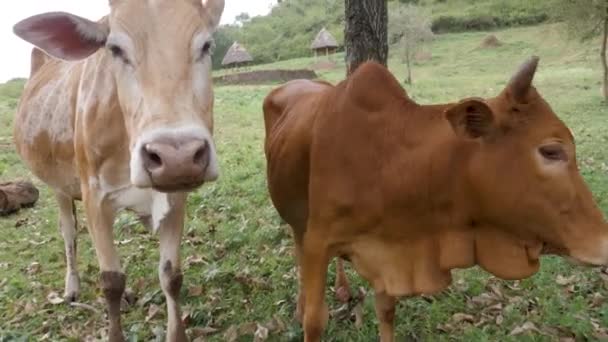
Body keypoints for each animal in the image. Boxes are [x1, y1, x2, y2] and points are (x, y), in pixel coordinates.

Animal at [11, 1, 224, 340]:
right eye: (115, 49)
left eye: (206, 45)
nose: (176, 155)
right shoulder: (95, 197)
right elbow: (110, 281)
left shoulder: (175, 198)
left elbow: (171, 276)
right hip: (58, 187)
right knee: (68, 232)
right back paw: (72, 287)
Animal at [264, 57, 608, 340]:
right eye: (551, 151)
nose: (604, 243)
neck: (390, 159)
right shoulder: (320, 241)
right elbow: (315, 321)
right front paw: (306, 312)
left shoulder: (387, 249)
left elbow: (386, 312)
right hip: (297, 219)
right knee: (297, 245)